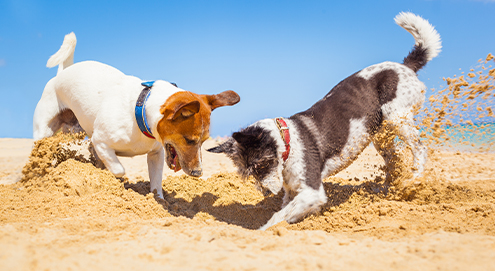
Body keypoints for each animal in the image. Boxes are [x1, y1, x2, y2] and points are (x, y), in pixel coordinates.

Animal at [34, 32, 240, 198]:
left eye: (204, 141)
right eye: (189, 140)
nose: (198, 173)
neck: (140, 112)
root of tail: (62, 73)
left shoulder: (156, 154)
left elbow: (156, 183)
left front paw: (159, 200)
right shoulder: (100, 141)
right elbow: (118, 169)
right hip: (44, 132)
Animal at [207, 12, 444, 230]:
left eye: (260, 165)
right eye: (246, 172)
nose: (264, 191)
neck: (288, 141)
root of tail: (406, 66)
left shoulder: (312, 191)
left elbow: (278, 217)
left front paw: (264, 230)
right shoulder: (293, 191)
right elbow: (287, 209)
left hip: (397, 116)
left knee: (420, 149)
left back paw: (413, 180)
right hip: (380, 134)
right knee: (394, 159)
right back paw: (389, 190)